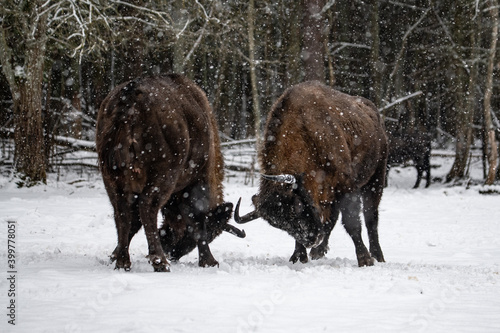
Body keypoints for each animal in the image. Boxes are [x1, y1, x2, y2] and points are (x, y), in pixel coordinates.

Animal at [95, 74, 244, 272]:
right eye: (213, 231)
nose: (173, 252)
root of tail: (132, 96)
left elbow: (133, 222)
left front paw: (113, 255)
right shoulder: (196, 182)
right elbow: (196, 220)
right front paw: (209, 261)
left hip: (111, 178)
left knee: (122, 213)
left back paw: (123, 262)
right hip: (163, 176)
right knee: (147, 207)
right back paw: (160, 262)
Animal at [234, 81, 386, 268]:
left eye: (298, 205)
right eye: (278, 224)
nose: (311, 239)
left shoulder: (346, 188)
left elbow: (352, 223)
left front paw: (365, 259)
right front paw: (298, 257)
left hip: (375, 179)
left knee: (371, 217)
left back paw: (377, 255)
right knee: (333, 219)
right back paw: (318, 251)